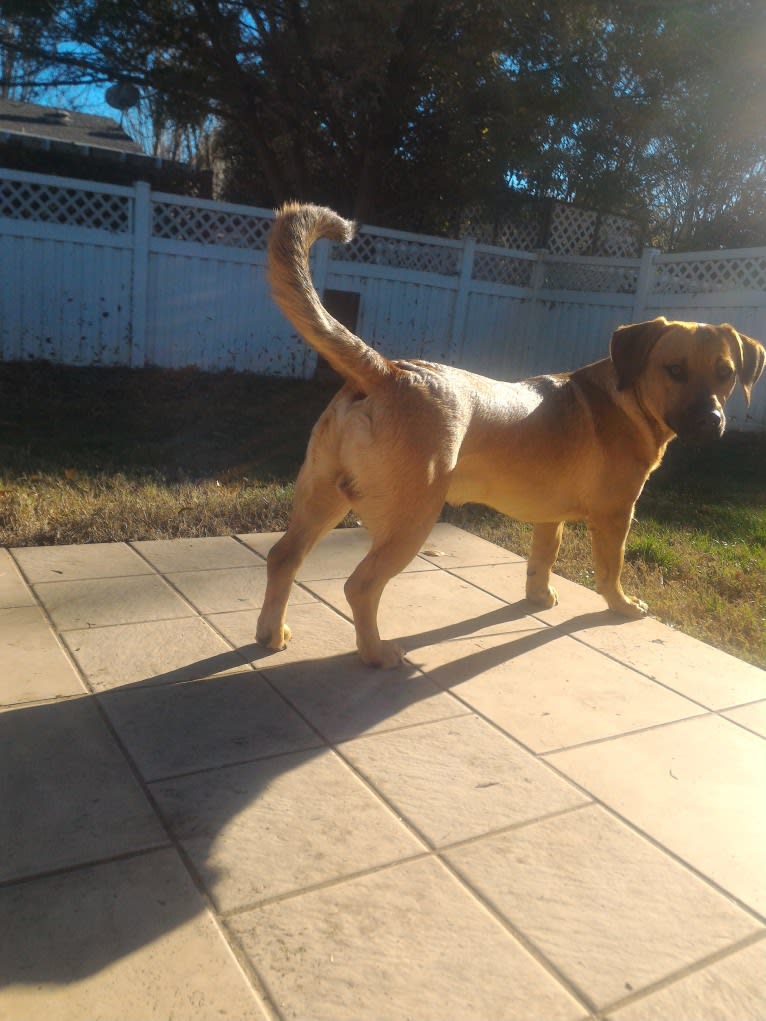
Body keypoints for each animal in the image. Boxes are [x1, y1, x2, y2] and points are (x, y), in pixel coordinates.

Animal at [256, 205, 763, 669]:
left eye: (726, 373)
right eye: (674, 370)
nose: (711, 421)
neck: (627, 396)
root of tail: (388, 372)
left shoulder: (549, 518)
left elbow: (542, 559)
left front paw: (539, 598)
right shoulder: (616, 516)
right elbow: (610, 570)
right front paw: (621, 606)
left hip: (322, 497)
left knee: (283, 557)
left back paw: (271, 634)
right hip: (409, 520)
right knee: (360, 586)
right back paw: (376, 653)